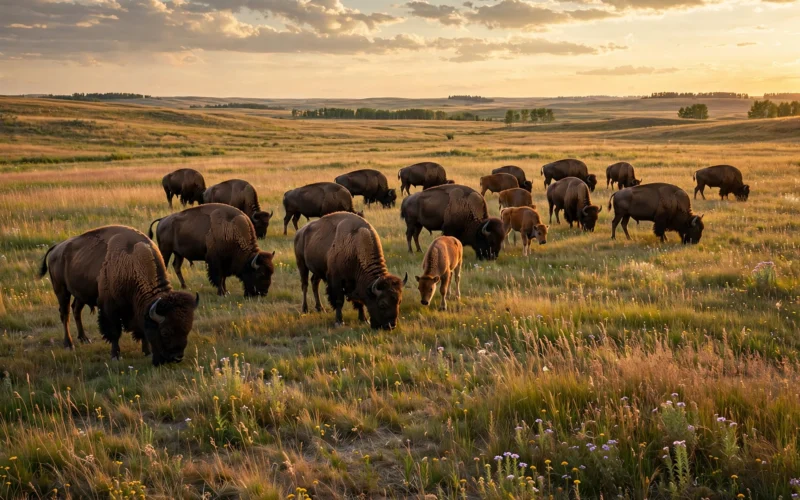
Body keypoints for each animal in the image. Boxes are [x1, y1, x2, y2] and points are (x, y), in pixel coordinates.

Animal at [39, 225, 198, 365]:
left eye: (187, 329)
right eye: (165, 332)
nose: (177, 357)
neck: (132, 264)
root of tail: (56, 248)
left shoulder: (137, 310)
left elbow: (141, 330)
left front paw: (147, 352)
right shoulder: (110, 309)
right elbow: (115, 332)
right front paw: (115, 356)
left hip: (80, 293)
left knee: (76, 310)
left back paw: (84, 338)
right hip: (61, 290)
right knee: (65, 314)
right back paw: (69, 344)